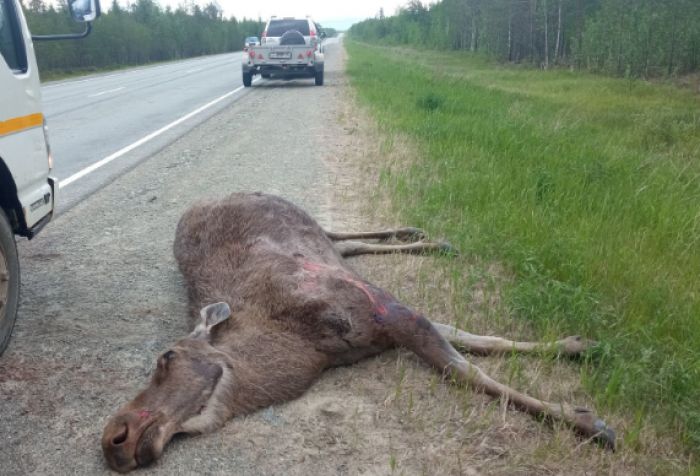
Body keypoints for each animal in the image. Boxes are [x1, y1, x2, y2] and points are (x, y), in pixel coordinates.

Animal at [102, 192, 615, 472]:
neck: (305, 350)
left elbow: (469, 367)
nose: (114, 438)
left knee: (340, 233)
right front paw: (578, 348)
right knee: (345, 243)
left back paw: (427, 235)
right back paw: (423, 237)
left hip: (302, 216)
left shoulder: (385, 310)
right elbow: (475, 344)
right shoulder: (388, 321)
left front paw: (590, 421)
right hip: (323, 244)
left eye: (166, 356)